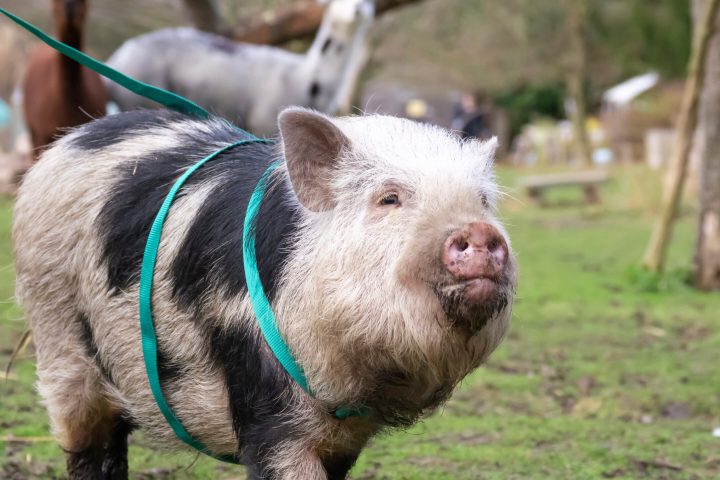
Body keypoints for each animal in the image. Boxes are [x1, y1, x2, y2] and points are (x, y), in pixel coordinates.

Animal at [12, 109, 516, 480]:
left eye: (482, 201)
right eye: (388, 198)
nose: (479, 232)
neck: (359, 377)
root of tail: (71, 140)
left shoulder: (344, 440)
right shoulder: (263, 402)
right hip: (55, 328)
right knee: (87, 440)